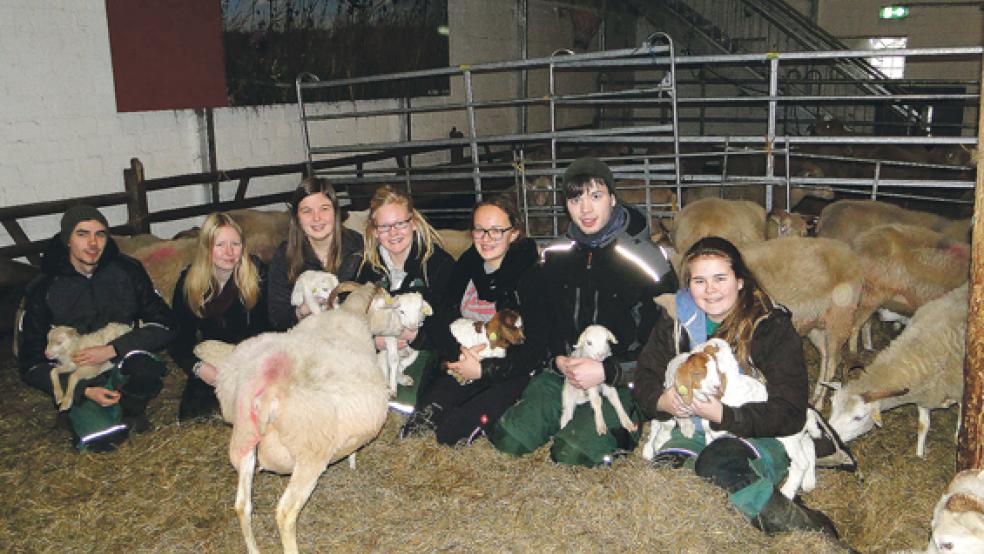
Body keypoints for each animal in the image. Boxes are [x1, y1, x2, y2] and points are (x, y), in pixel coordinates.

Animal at [192, 280, 392, 552]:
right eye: (388, 303)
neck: (350, 314)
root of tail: (267, 393)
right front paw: (352, 460)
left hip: (243, 446)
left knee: (242, 505)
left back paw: (253, 548)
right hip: (310, 457)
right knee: (285, 513)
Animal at [828, 282, 964, 454]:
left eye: (858, 417)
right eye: (832, 404)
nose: (826, 438)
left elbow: (960, 426)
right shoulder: (925, 395)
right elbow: (923, 426)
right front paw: (919, 455)